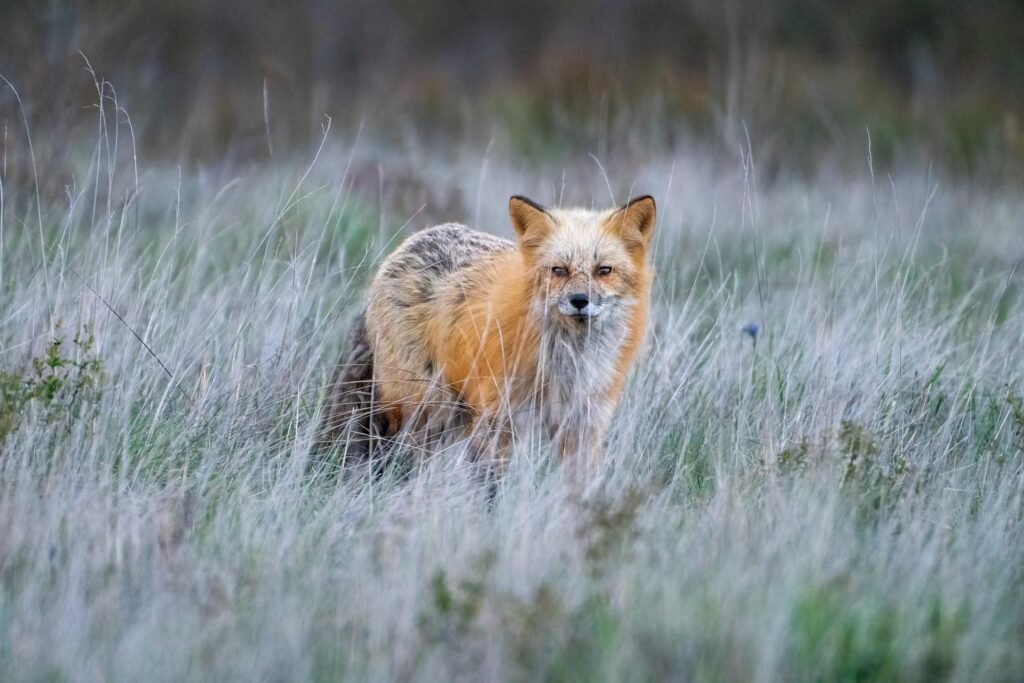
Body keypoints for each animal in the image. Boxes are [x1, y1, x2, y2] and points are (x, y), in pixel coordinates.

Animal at [317, 194, 656, 471]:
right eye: (558, 270)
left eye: (604, 271)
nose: (580, 301)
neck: (565, 364)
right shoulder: (499, 420)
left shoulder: (581, 426)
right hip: (431, 409)